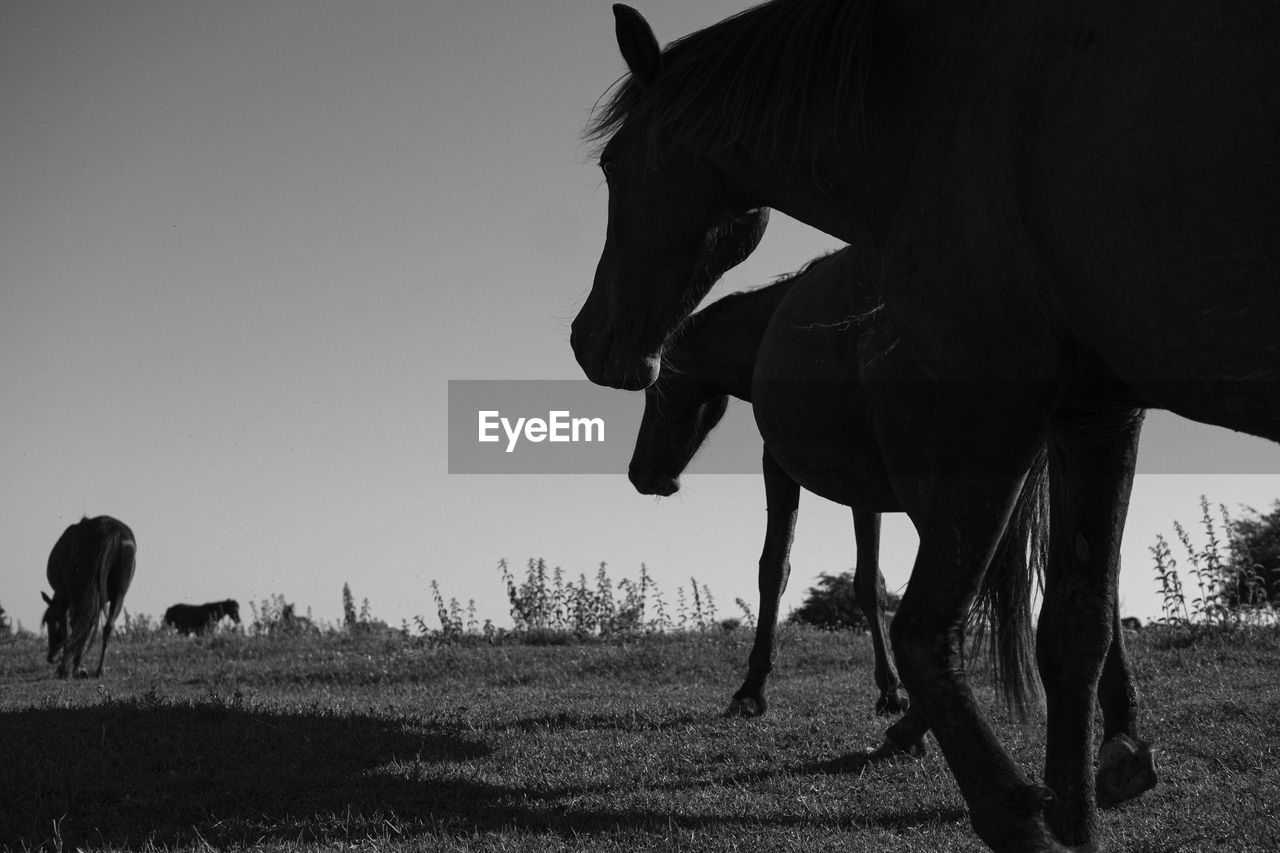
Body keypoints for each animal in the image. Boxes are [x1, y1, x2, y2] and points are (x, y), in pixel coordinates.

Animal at [40, 512, 136, 676]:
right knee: (107, 627)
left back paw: (71, 667)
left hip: (85, 593)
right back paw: (99, 670)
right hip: (118, 595)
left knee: (81, 624)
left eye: (49, 620)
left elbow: (70, 626)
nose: (51, 657)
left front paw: (67, 667)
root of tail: (112, 529)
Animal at [570, 4, 1269, 845]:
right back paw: (1117, 749)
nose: (590, 341)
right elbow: (950, 595)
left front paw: (764, 691)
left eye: (612, 164)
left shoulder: (821, 462)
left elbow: (798, 575)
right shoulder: (1073, 417)